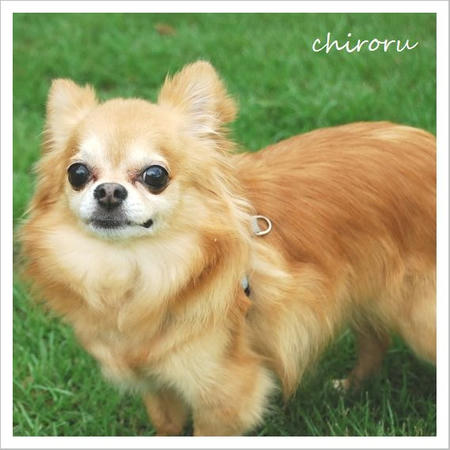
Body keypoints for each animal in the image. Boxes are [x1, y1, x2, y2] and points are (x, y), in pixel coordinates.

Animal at [20, 61, 436, 435]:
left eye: (155, 176)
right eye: (77, 173)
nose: (107, 191)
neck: (136, 270)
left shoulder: (224, 394)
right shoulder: (159, 384)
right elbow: (167, 427)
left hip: (421, 320)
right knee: (376, 337)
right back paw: (351, 387)